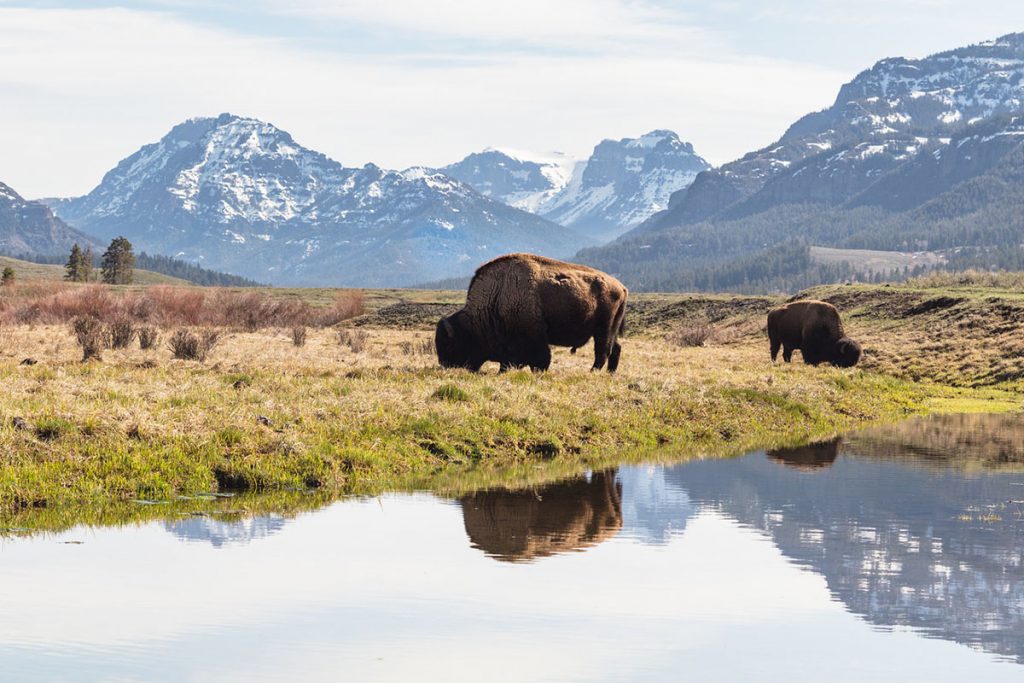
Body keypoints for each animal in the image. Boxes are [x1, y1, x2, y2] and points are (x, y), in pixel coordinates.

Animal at [432, 254, 622, 374]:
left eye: (450, 345)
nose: (445, 365)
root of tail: (621, 286)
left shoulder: (534, 336)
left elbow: (541, 358)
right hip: (610, 330)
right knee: (615, 348)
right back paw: (610, 373)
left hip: (603, 329)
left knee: (602, 351)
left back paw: (592, 372)